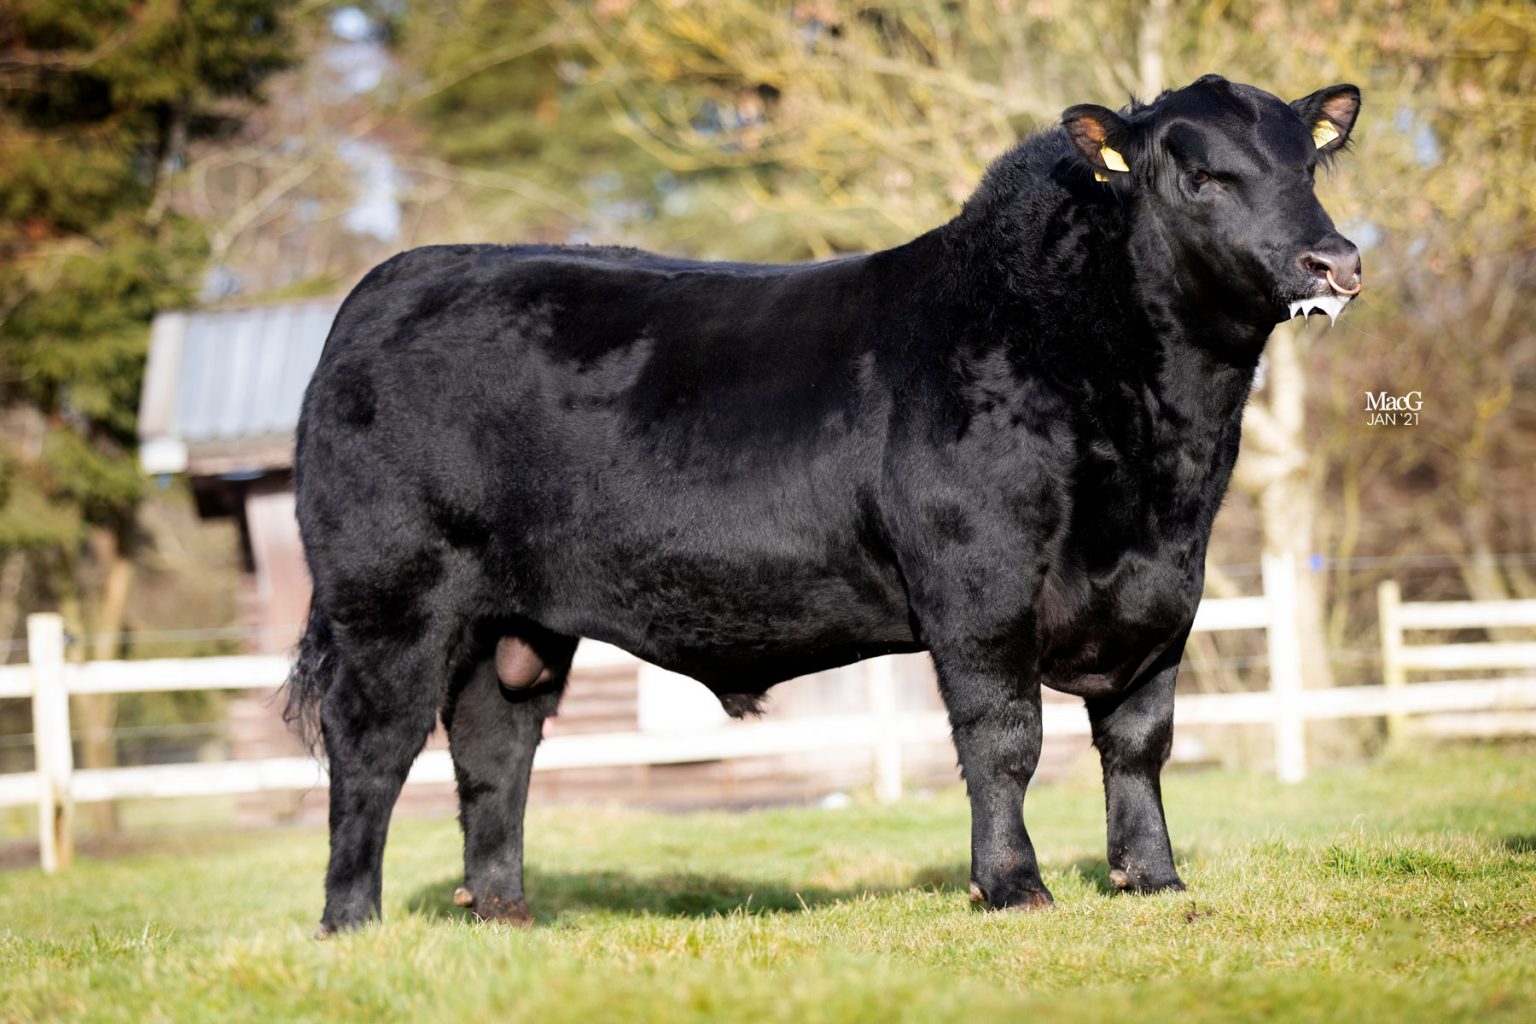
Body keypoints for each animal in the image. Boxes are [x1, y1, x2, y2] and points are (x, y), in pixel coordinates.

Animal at [286, 74, 1362, 935]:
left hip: (513, 623)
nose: (1335, 260)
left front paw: (1154, 879)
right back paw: (352, 920)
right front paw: (1013, 886)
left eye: (1309, 164)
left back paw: (504, 913)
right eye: (1202, 176)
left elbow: (1140, 742)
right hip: (390, 597)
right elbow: (1004, 739)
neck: (1156, 458)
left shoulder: (1164, 592)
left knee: (494, 749)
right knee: (372, 747)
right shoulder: (979, 586)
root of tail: (404, 275)